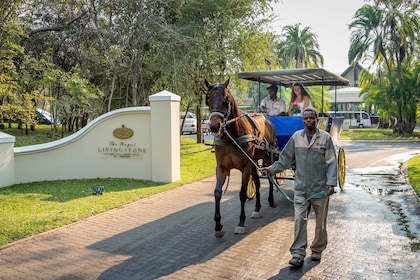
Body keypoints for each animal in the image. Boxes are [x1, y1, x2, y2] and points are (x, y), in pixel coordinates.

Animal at [206, 77, 278, 237]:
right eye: (207, 99)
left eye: (226, 99)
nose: (214, 127)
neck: (231, 136)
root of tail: (267, 119)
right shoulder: (221, 167)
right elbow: (217, 193)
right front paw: (218, 226)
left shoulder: (245, 166)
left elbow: (242, 194)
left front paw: (240, 223)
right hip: (254, 162)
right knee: (257, 182)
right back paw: (257, 209)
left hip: (268, 156)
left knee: (270, 178)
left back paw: (271, 200)